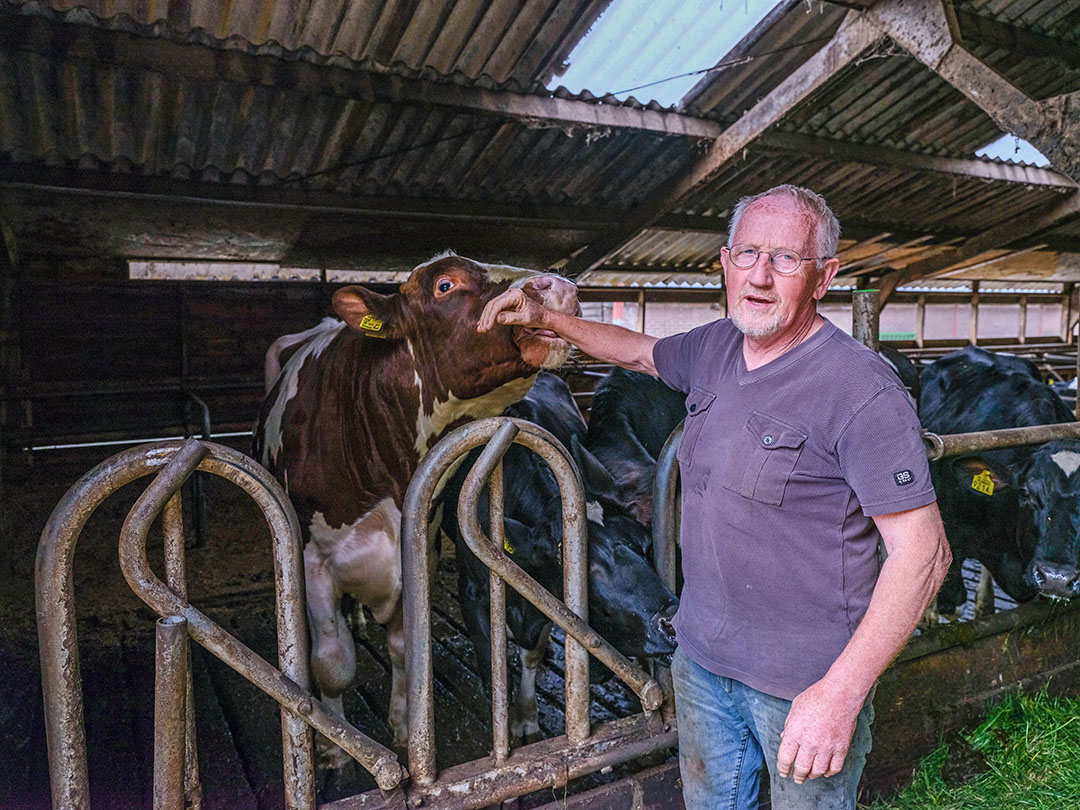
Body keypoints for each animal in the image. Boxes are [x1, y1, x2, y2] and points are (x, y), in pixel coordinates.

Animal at [252, 253, 578, 773]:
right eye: (444, 284)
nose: (558, 288)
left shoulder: (418, 548)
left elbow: (406, 647)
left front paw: (405, 724)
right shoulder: (310, 557)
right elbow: (333, 662)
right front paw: (334, 746)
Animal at [438, 373, 673, 743]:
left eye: (644, 542)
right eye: (567, 554)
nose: (670, 619)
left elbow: (532, 654)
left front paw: (526, 719)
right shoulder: (472, 589)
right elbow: (492, 667)